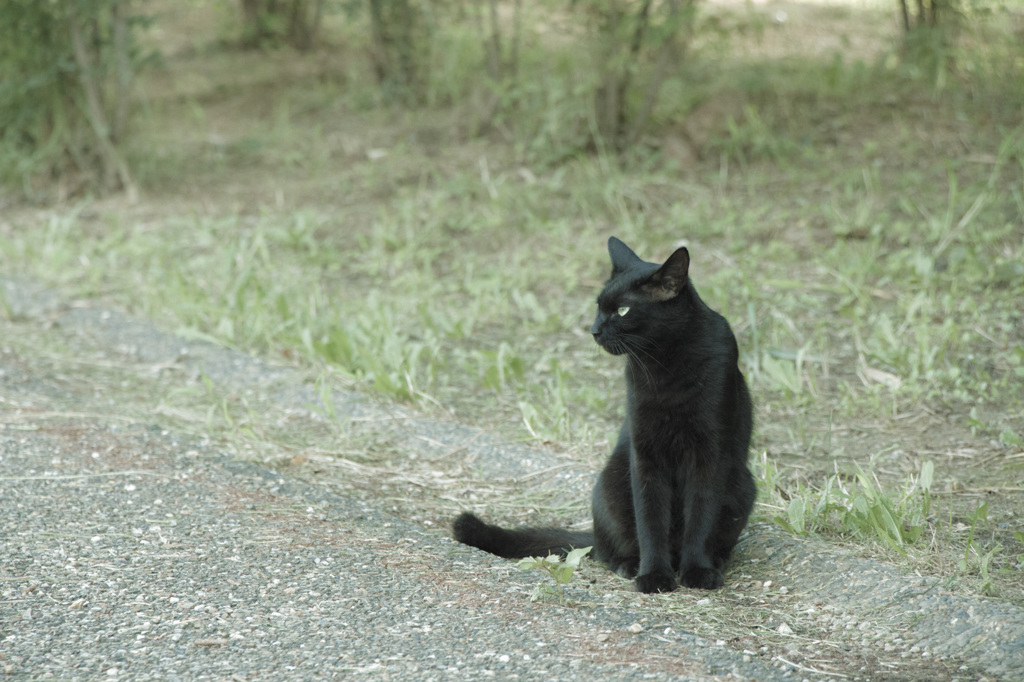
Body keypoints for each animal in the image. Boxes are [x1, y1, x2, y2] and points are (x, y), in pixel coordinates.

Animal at [452, 235, 757, 589]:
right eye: (598, 307)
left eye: (623, 310)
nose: (594, 329)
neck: (664, 361)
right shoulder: (645, 452)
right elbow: (650, 519)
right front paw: (654, 576)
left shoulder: (709, 453)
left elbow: (701, 515)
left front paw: (697, 571)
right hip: (610, 484)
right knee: (607, 550)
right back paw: (630, 564)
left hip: (742, 486)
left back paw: (711, 561)